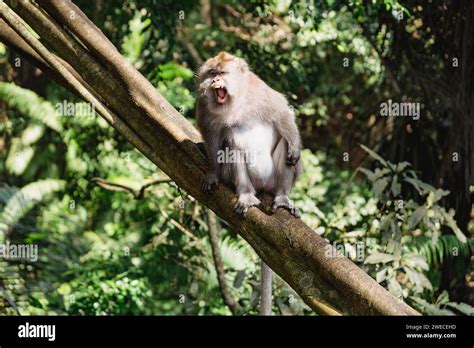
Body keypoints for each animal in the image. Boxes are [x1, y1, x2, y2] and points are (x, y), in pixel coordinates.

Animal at [196, 51, 304, 316]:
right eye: (212, 74)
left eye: (222, 73)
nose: (215, 83)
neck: (235, 103)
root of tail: (263, 188)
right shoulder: (205, 106)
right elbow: (213, 139)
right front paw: (212, 173)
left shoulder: (260, 91)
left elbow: (282, 113)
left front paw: (295, 148)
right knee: (232, 145)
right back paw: (245, 195)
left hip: (273, 179)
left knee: (283, 143)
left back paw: (282, 198)